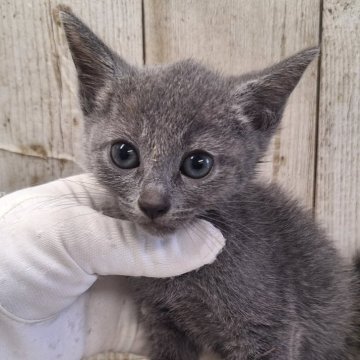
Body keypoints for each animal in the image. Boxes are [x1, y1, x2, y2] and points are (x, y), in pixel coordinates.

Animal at [60, 9, 358, 360]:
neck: (181, 280)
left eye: (198, 164)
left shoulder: (271, 329)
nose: (152, 203)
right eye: (123, 154)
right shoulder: (161, 321)